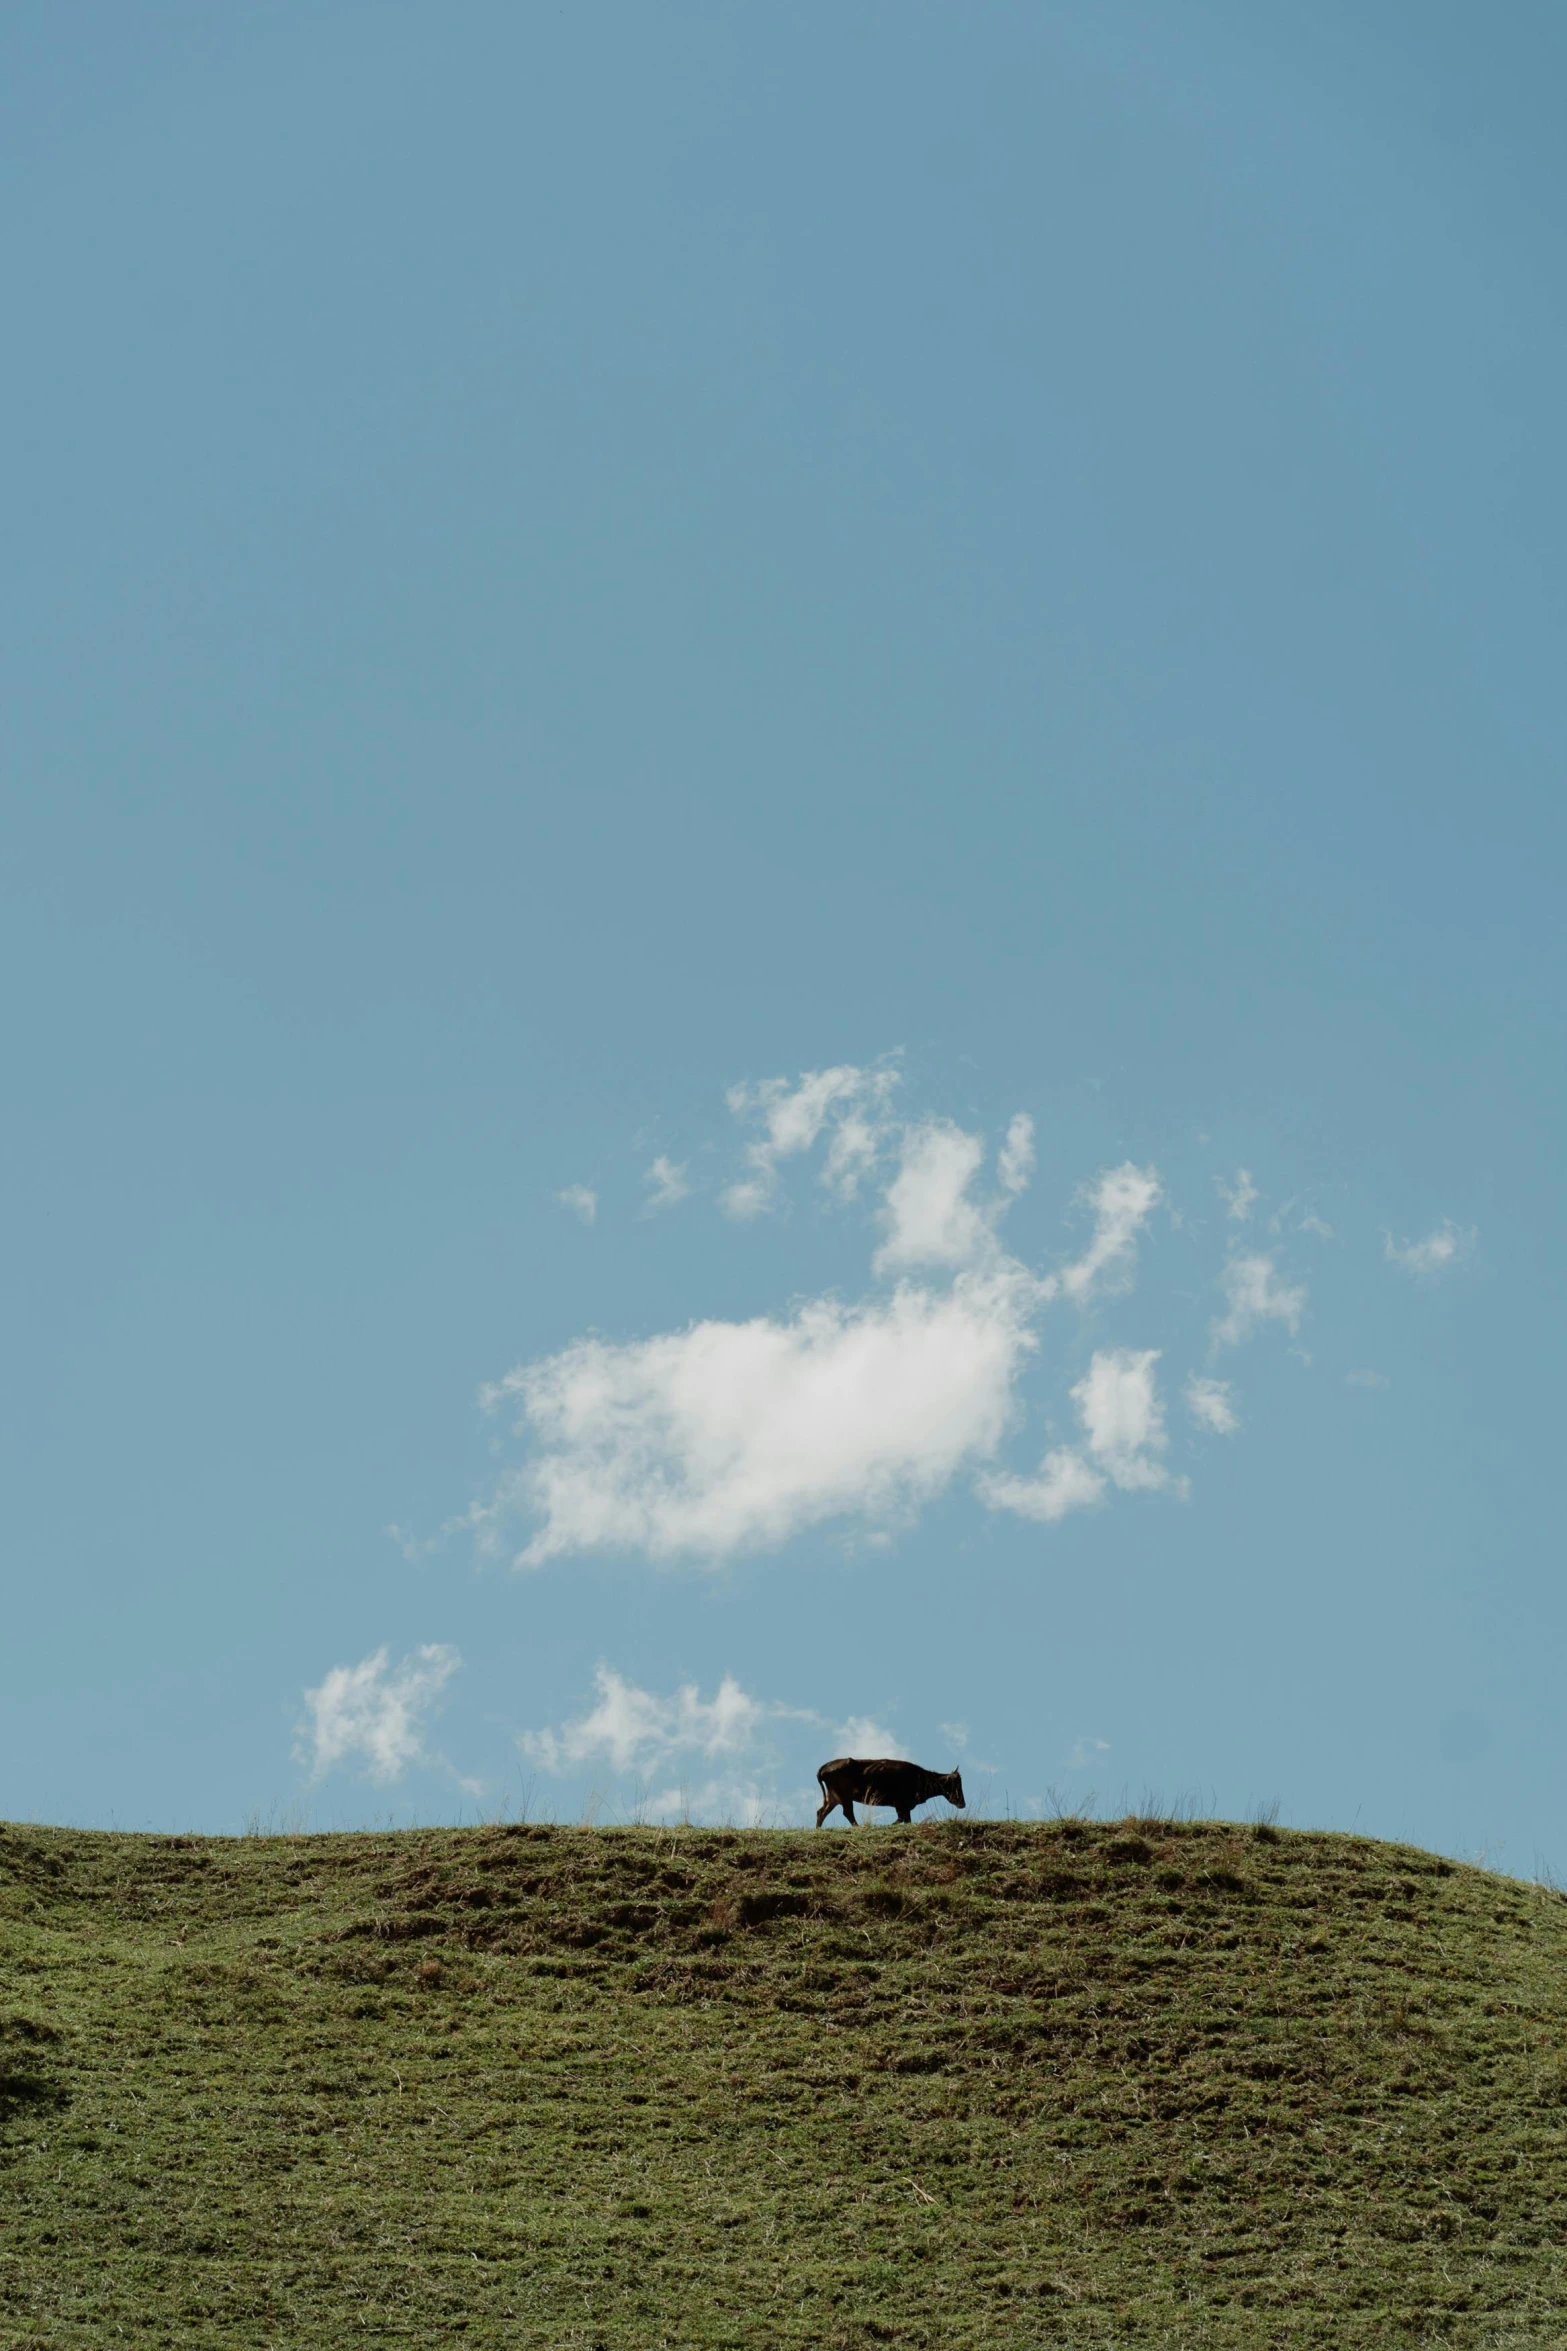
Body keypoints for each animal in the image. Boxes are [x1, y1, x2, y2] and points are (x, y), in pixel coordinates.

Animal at [817, 1758, 963, 1824]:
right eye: (955, 1784)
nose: (963, 1803)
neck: (920, 1777)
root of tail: (826, 1766)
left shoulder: (904, 1807)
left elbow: (904, 1820)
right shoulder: (901, 1804)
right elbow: (901, 1819)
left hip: (834, 1798)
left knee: (821, 1812)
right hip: (844, 1796)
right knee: (847, 1813)